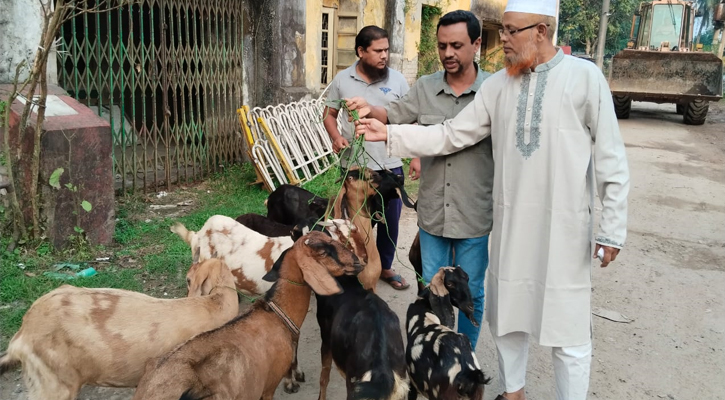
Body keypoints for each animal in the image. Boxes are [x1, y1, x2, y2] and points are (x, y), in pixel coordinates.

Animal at [404, 266, 490, 400]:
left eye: (467, 279)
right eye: (450, 283)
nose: (470, 307)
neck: (424, 307)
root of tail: (468, 372)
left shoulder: (413, 383)